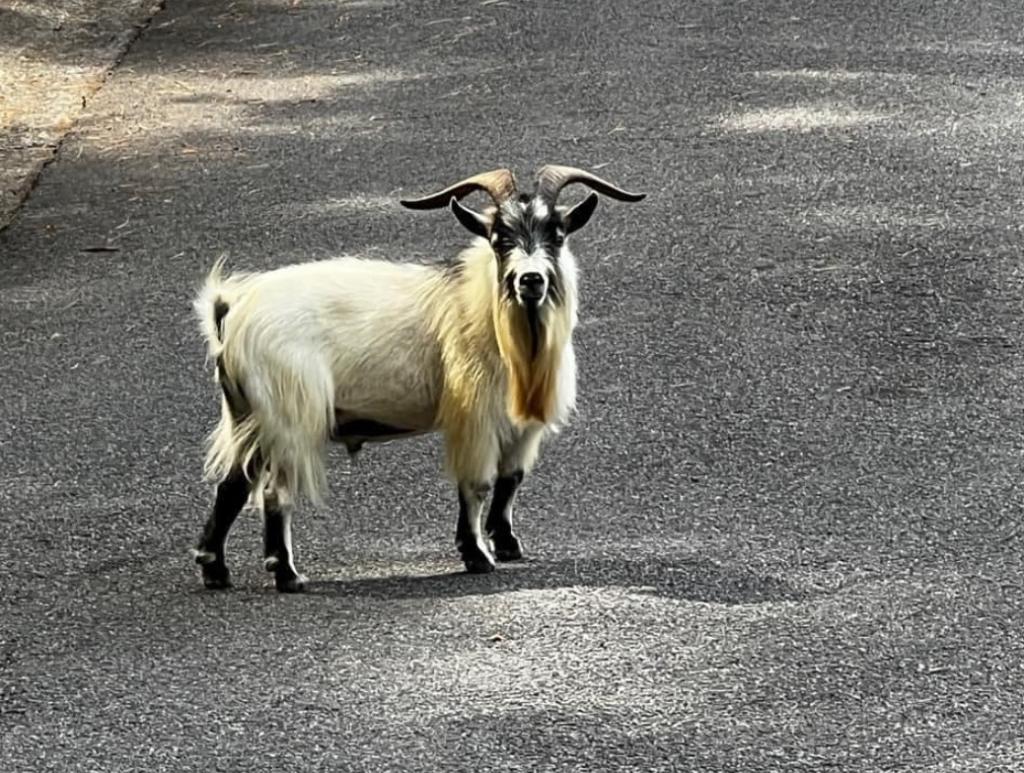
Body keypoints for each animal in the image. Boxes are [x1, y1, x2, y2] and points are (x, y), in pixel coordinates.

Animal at [188, 164, 643, 593]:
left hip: (248, 414)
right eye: (499, 238)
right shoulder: (475, 417)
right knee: (273, 492)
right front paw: (476, 555)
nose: (530, 280)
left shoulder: (520, 424)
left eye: (558, 234)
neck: (481, 308)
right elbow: (477, 484)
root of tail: (233, 309)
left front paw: (507, 544)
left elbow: (511, 478)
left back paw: (215, 569)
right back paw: (286, 574)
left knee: (233, 485)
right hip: (289, 414)